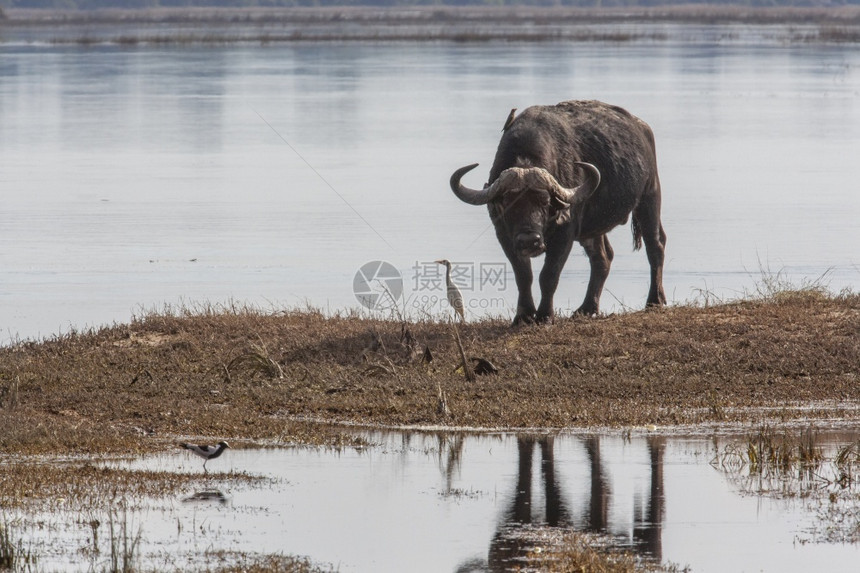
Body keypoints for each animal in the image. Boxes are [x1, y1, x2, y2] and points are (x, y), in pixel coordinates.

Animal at [450, 98, 664, 322]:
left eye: (544, 201)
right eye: (508, 202)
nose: (529, 240)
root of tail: (642, 127)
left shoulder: (565, 233)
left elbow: (549, 275)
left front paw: (545, 315)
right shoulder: (504, 234)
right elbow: (523, 275)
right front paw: (524, 316)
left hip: (650, 197)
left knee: (655, 246)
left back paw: (655, 300)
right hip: (593, 229)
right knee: (603, 257)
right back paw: (587, 307)